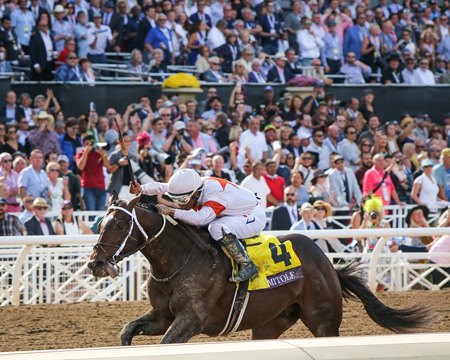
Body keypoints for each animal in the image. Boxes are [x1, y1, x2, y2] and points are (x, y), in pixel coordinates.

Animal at [88, 195, 432, 344]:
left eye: (119, 224)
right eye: (100, 222)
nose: (96, 262)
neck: (178, 261)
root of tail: (327, 264)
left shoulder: (191, 319)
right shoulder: (162, 317)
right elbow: (126, 331)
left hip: (323, 321)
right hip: (268, 324)